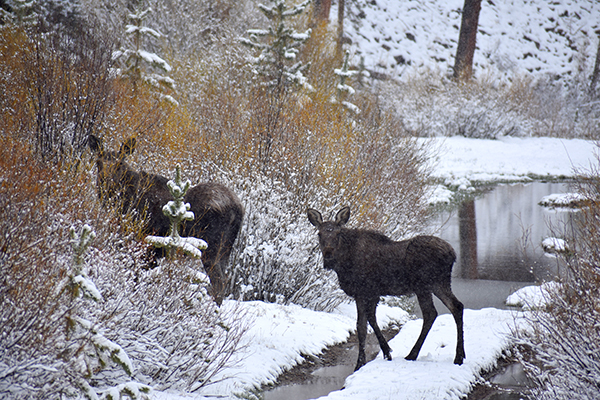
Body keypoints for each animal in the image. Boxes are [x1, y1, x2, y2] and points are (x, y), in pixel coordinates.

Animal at [88, 134, 243, 304]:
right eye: (98, 162)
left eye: (119, 164)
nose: (106, 183)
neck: (124, 201)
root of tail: (237, 208)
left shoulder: (146, 244)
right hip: (225, 249)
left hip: (211, 247)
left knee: (218, 282)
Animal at [308, 208, 466, 370]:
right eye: (319, 234)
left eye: (338, 233)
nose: (328, 255)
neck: (343, 264)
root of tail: (453, 254)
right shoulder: (367, 294)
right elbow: (366, 323)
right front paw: (380, 354)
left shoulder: (366, 292)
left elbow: (365, 324)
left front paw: (367, 360)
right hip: (438, 284)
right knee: (455, 306)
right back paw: (458, 356)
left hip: (424, 286)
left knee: (431, 313)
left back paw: (415, 355)